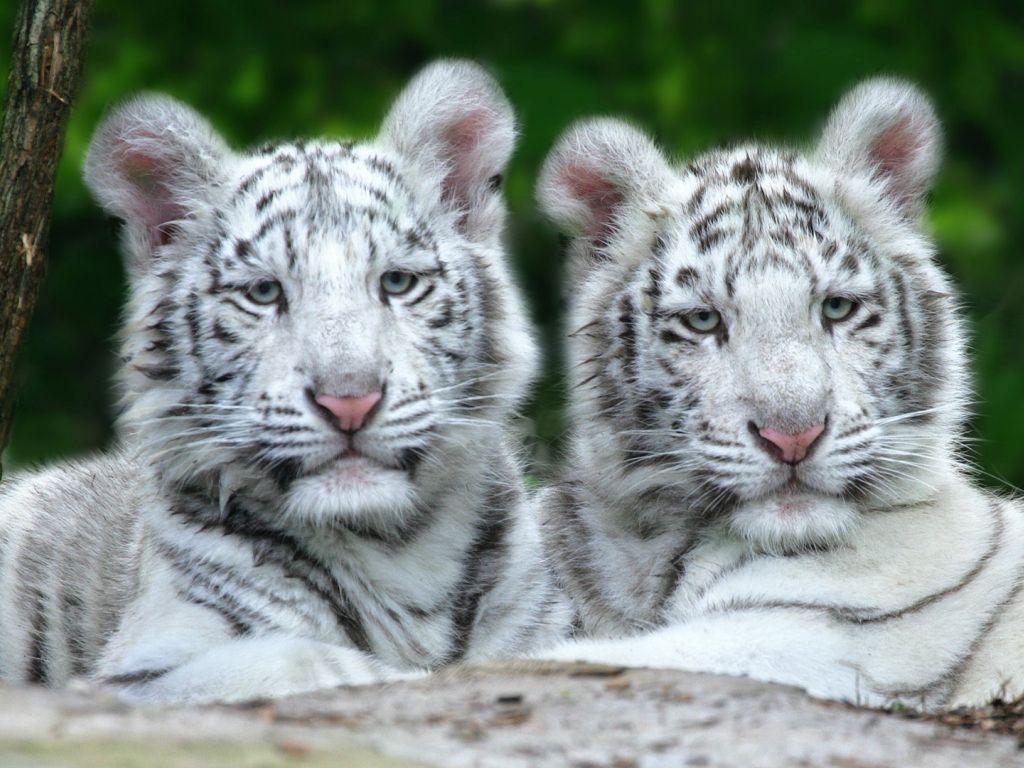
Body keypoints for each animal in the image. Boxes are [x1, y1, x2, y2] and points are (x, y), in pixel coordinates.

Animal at [0, 60, 567, 704]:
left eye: (397, 282)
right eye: (264, 292)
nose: (350, 401)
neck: (397, 551)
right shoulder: (138, 673)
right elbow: (306, 661)